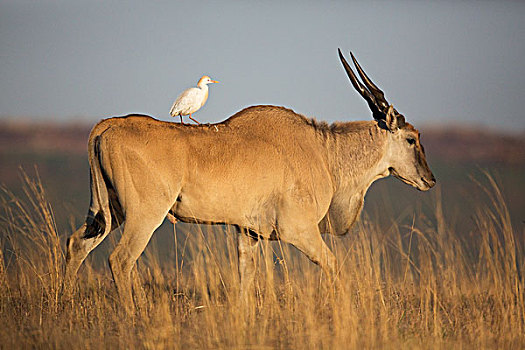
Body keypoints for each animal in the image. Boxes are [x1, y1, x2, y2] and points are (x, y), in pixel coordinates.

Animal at [64, 50, 434, 312]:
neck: (324, 150)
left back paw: (62, 303)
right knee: (120, 260)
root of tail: (108, 125)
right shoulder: (299, 231)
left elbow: (245, 281)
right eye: (411, 139)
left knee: (77, 244)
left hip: (109, 213)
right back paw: (133, 314)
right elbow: (333, 267)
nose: (429, 179)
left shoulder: (248, 234)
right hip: (144, 216)